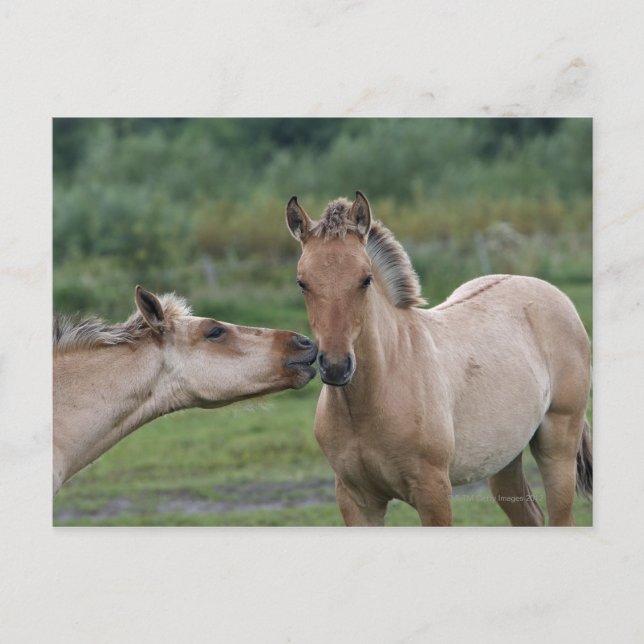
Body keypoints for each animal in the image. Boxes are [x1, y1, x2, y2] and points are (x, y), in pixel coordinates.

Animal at [286, 191, 592, 526]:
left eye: (365, 279)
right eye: (302, 282)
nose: (336, 367)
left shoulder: (433, 492)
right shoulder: (356, 500)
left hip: (558, 446)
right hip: (503, 457)